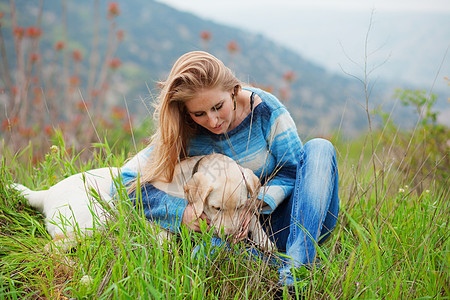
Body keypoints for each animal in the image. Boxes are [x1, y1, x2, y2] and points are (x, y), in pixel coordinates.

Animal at [12, 154, 274, 252]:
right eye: (215, 207)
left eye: (239, 207)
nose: (231, 236)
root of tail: (46, 193)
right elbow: (165, 239)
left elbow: (254, 218)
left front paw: (268, 243)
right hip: (96, 219)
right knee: (51, 248)